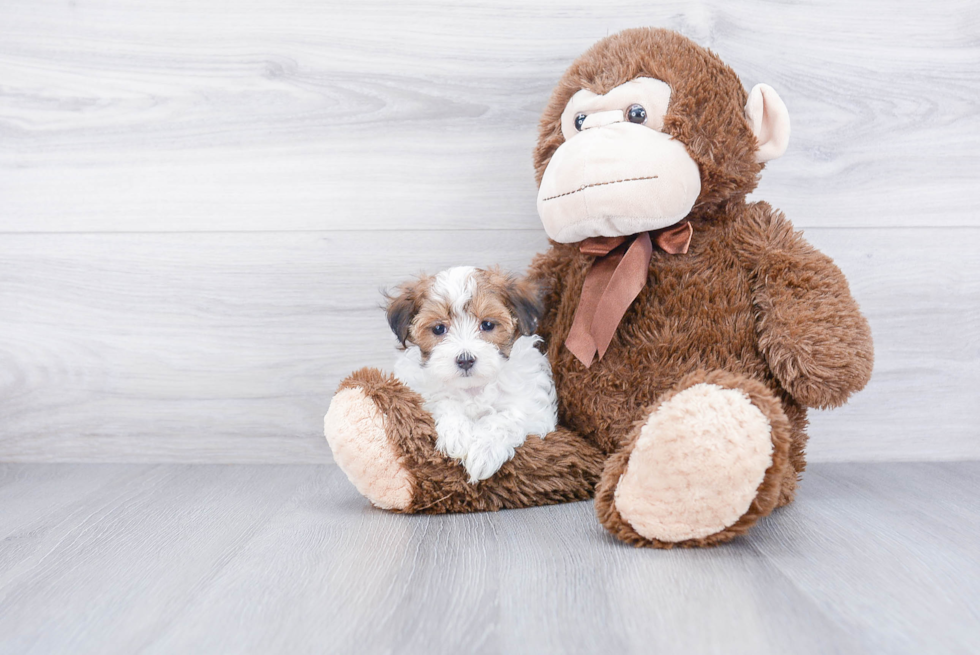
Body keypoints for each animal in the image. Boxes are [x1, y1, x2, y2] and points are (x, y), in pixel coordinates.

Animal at [388, 264, 560, 484]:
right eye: (439, 328)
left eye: (487, 325)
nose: (465, 360)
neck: (474, 388)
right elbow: (444, 403)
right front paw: (458, 435)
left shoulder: (534, 410)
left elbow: (507, 418)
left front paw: (484, 451)